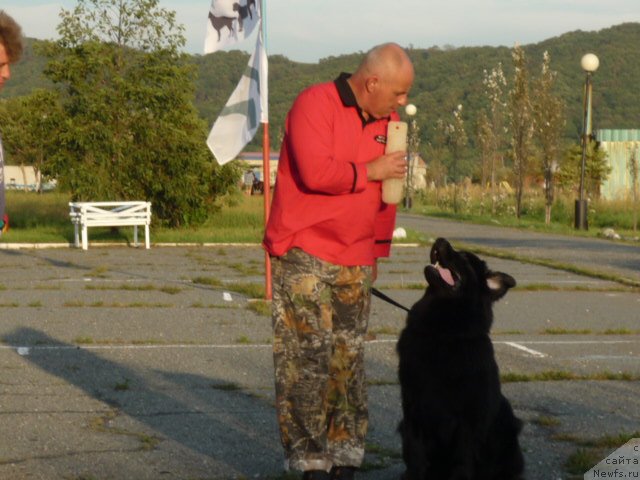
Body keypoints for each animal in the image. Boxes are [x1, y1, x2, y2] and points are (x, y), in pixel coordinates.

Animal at [396, 238, 524, 478]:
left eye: (464, 258)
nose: (439, 240)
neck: (443, 333)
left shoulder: (467, 420)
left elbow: (462, 462)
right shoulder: (413, 410)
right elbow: (416, 457)